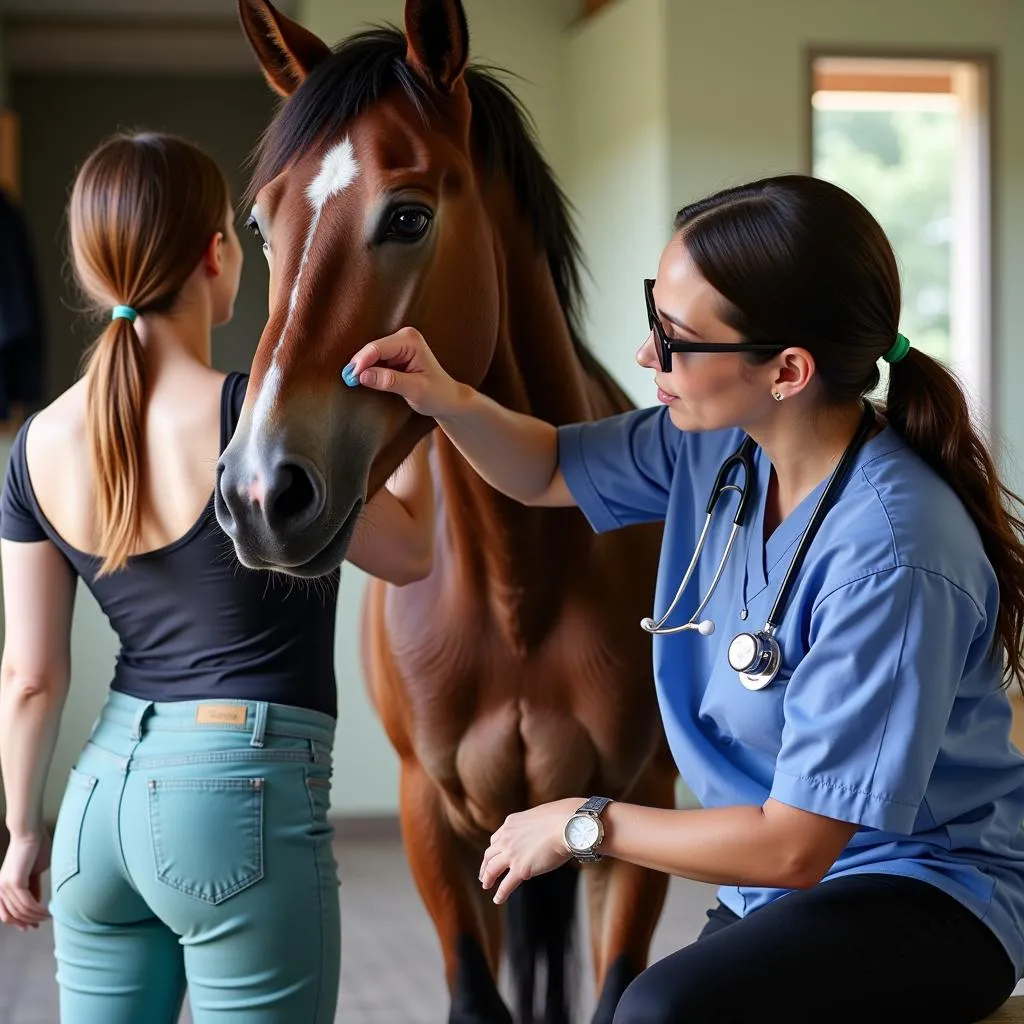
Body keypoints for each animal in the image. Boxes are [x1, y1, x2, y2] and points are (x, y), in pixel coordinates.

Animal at [218, 4, 671, 1019]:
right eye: (262, 226)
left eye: (409, 215)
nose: (260, 492)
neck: (520, 585)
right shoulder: (433, 820)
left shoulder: (633, 819)